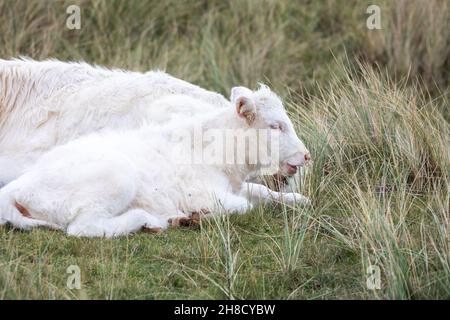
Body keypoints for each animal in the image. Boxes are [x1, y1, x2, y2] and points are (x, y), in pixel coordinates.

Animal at [0, 86, 310, 236]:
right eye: (275, 126)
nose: (306, 155)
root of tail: (16, 188)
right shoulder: (203, 194)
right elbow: (244, 206)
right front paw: (198, 217)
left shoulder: (234, 185)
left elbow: (262, 191)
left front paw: (298, 199)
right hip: (116, 178)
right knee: (83, 228)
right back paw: (152, 220)